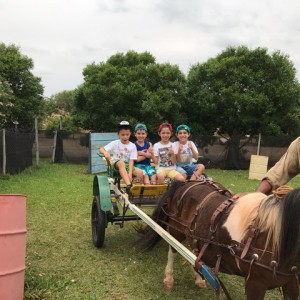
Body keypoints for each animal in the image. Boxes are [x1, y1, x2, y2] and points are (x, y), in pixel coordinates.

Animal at [139, 178, 300, 300]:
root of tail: (186, 181)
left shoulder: (292, 284)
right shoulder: (255, 285)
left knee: (194, 253)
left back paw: (199, 277)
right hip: (176, 229)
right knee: (173, 249)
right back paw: (169, 278)